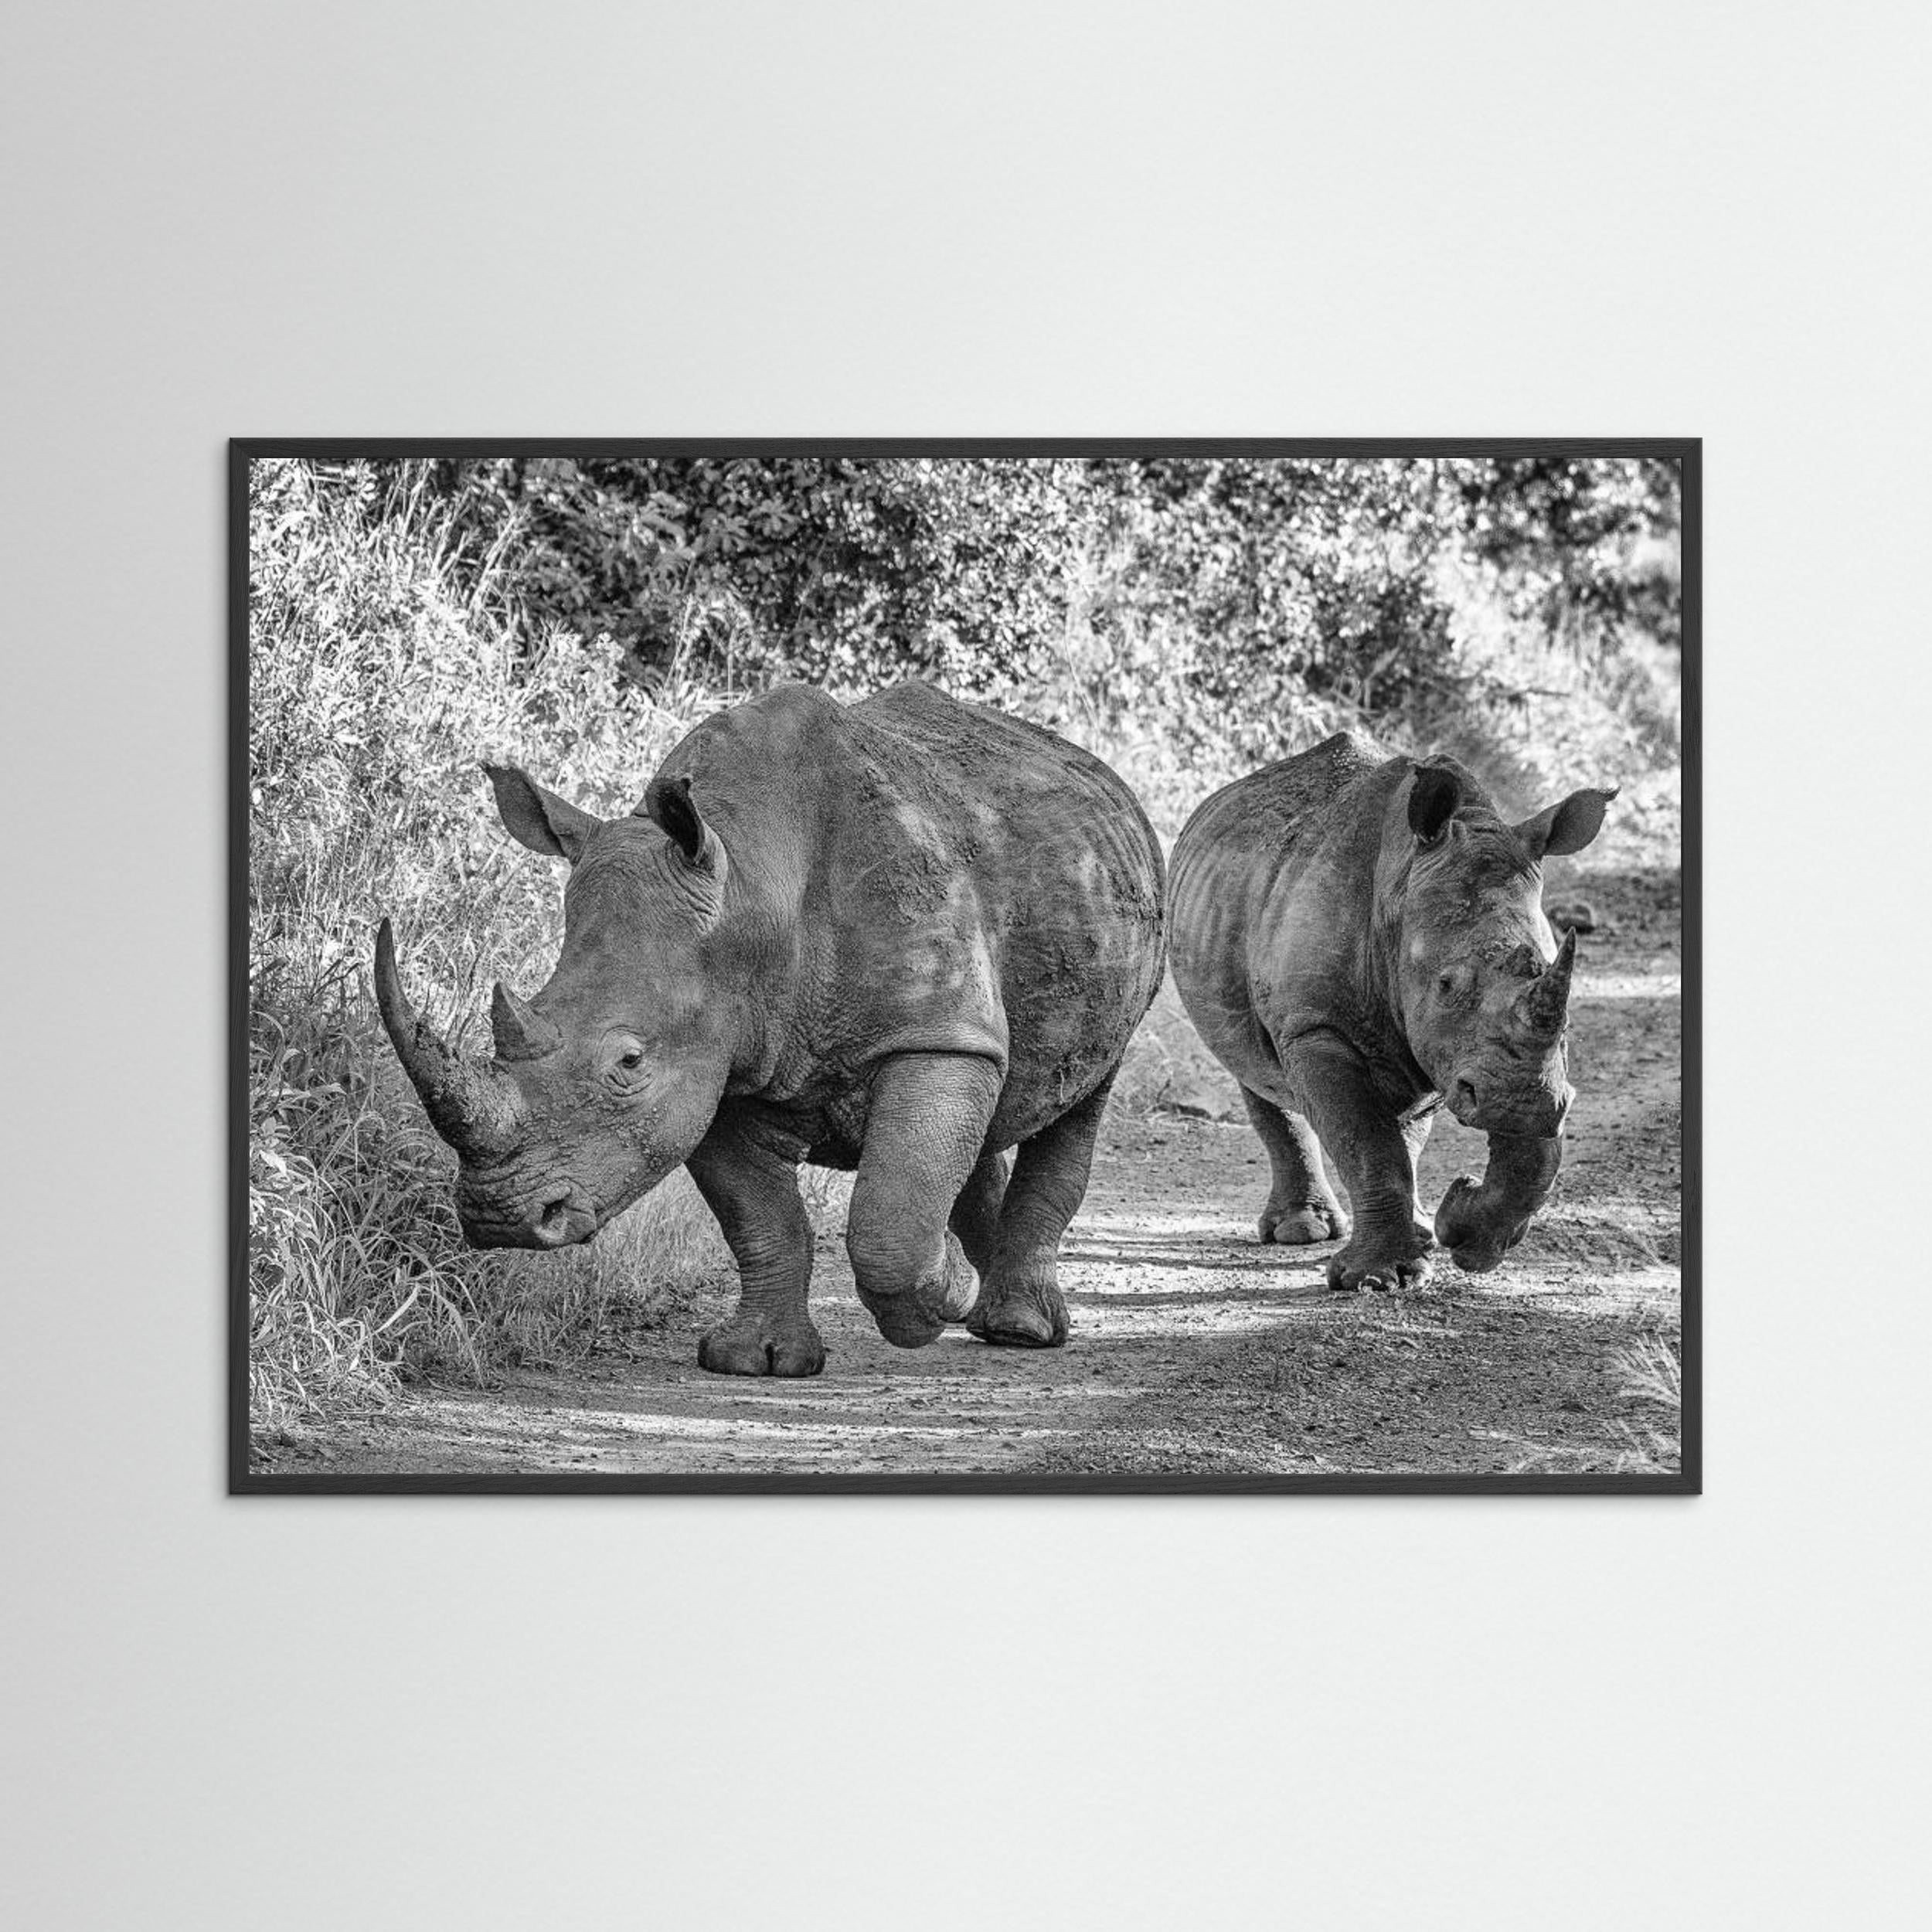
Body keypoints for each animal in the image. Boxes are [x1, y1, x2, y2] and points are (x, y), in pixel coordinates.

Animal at [374, 681, 1165, 1374]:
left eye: (628, 1063)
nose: (499, 1216)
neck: (752, 888)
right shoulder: (718, 1058)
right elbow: (760, 1220)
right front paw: (757, 1360)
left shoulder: (930, 1030)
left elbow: (890, 1222)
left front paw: (940, 1294)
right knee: (999, 1096)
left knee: (1080, 1095)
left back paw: (1016, 1327)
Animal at [1168, 732, 1614, 1291]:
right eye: (1446, 985)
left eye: (1563, 1002)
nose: (1522, 1102)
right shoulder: (1315, 1026)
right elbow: (1365, 1142)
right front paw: (1379, 1279)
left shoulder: (1472, 1054)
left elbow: (1523, 1160)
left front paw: (1461, 1231)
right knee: (1254, 1069)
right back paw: (1302, 1232)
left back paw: (1418, 1227)